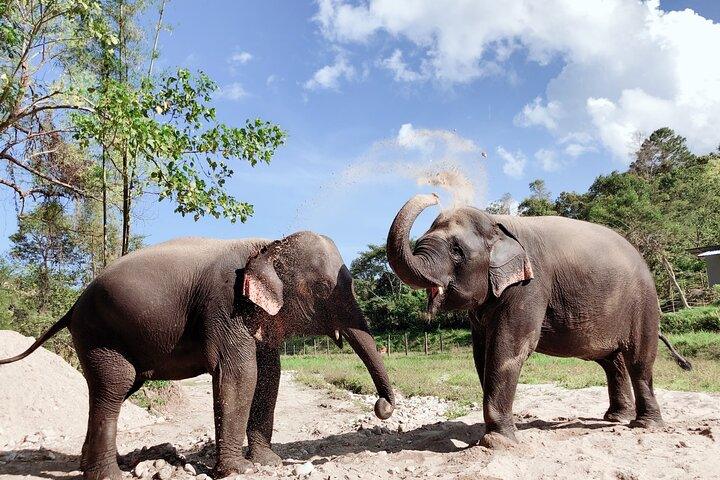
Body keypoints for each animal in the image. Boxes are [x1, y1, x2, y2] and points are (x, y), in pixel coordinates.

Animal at [0, 231, 394, 478]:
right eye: (325, 288)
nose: (382, 408)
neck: (267, 245)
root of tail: (73, 305)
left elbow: (270, 374)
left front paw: (270, 463)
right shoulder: (223, 304)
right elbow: (241, 374)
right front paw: (240, 471)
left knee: (116, 388)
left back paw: (95, 466)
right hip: (100, 333)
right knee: (115, 385)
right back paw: (110, 475)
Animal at [388, 193, 692, 448]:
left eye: (456, 251)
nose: (434, 195)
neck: (498, 224)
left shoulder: (531, 285)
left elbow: (509, 348)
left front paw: (498, 444)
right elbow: (482, 354)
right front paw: (497, 434)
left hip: (643, 304)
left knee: (639, 360)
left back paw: (645, 425)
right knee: (612, 362)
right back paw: (615, 418)